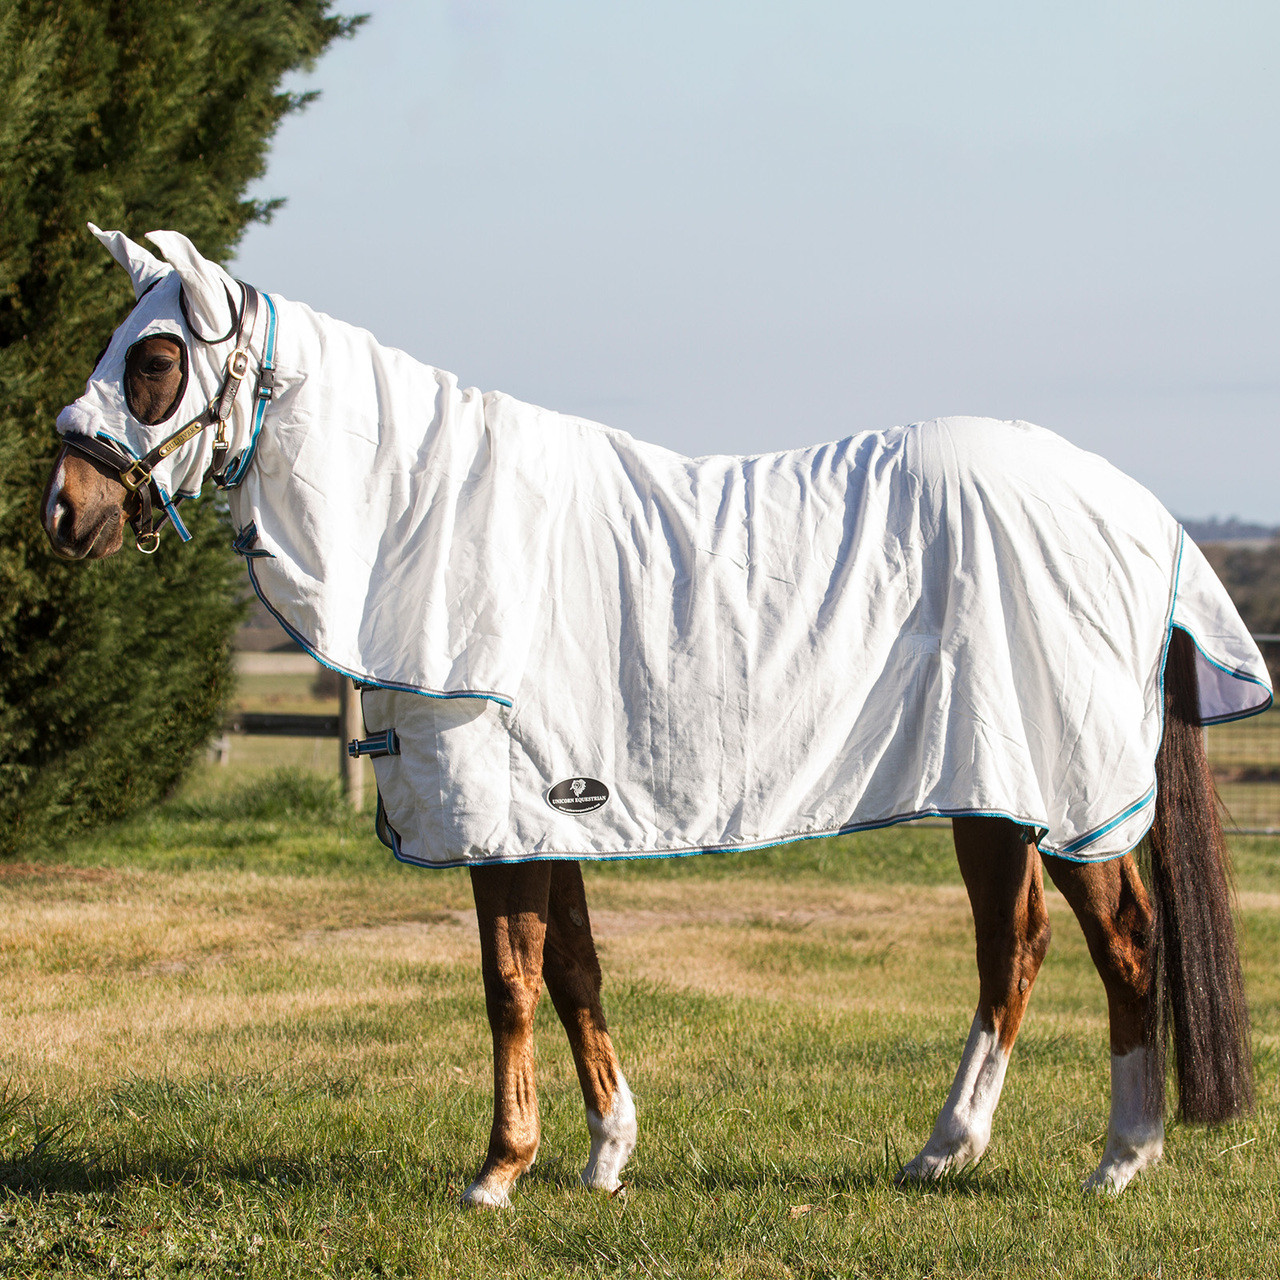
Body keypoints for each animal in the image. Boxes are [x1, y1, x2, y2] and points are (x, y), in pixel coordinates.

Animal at [43, 225, 1271, 1207]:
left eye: (156, 359)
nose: (65, 509)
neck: (440, 527)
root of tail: (1137, 509)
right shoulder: (550, 810)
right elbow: (574, 970)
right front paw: (603, 1156)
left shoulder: (498, 815)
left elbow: (508, 980)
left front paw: (498, 1171)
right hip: (990, 785)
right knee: (1009, 948)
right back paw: (945, 1148)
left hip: (1068, 787)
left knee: (1125, 939)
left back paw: (1119, 1159)